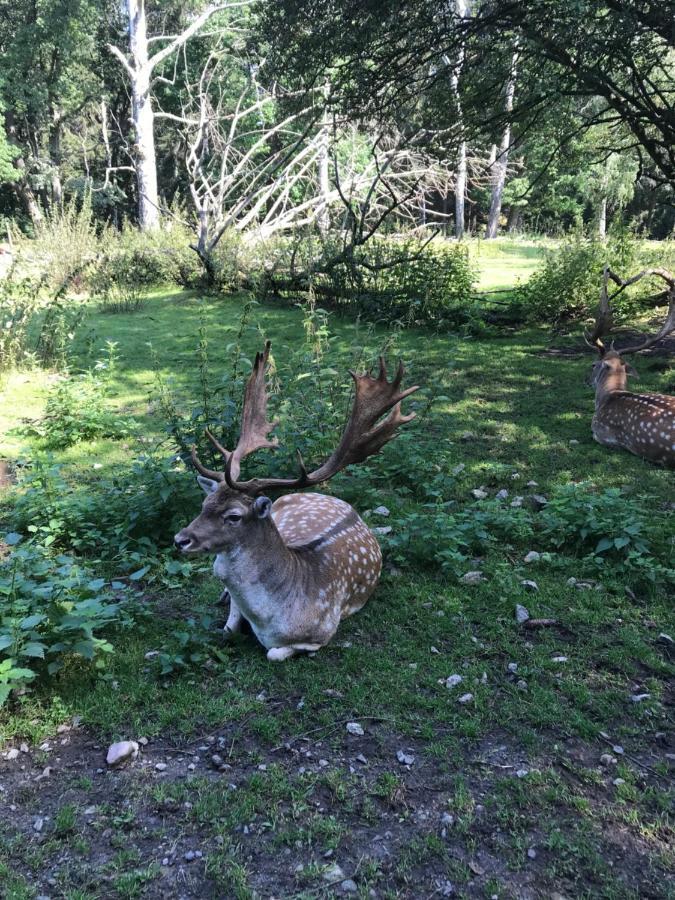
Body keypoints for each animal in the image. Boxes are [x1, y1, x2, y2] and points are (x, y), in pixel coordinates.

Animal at [173, 344, 418, 660]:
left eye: (234, 516)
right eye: (204, 505)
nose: (180, 539)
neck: (272, 621)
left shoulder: (323, 633)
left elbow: (273, 653)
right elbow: (228, 629)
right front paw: (226, 604)